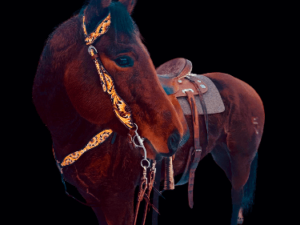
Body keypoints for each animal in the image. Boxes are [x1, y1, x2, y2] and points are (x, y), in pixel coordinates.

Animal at [31, 0, 264, 225]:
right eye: (124, 59)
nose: (176, 137)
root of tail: (247, 88)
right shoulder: (97, 202)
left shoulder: (119, 201)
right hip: (222, 154)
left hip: (241, 159)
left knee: (236, 199)